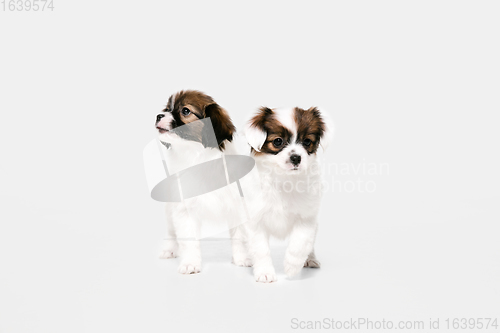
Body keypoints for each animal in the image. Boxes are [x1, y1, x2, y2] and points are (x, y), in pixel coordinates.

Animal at [155, 89, 249, 274]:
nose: (158, 115)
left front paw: (242, 259)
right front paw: (190, 263)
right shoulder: (184, 210)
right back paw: (169, 249)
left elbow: (239, 236)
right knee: (171, 231)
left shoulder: (237, 204)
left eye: (185, 111)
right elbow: (188, 239)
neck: (197, 157)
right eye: (167, 109)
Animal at [244, 105, 334, 280]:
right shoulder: (255, 220)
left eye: (307, 141)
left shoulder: (306, 218)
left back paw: (310, 259)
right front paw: (264, 273)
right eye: (278, 141)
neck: (284, 178)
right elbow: (260, 249)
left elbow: (300, 243)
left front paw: (292, 267)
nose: (296, 158)